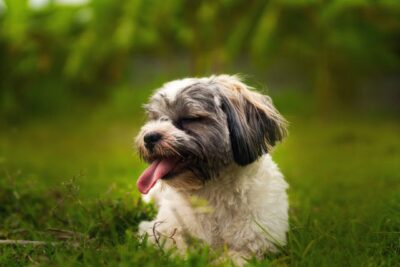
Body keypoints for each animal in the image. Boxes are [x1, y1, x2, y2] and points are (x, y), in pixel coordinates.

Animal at [136, 75, 290, 266]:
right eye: (155, 118)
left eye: (189, 118)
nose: (149, 137)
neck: (211, 192)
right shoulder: (157, 230)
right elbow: (173, 245)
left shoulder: (258, 244)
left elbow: (231, 258)